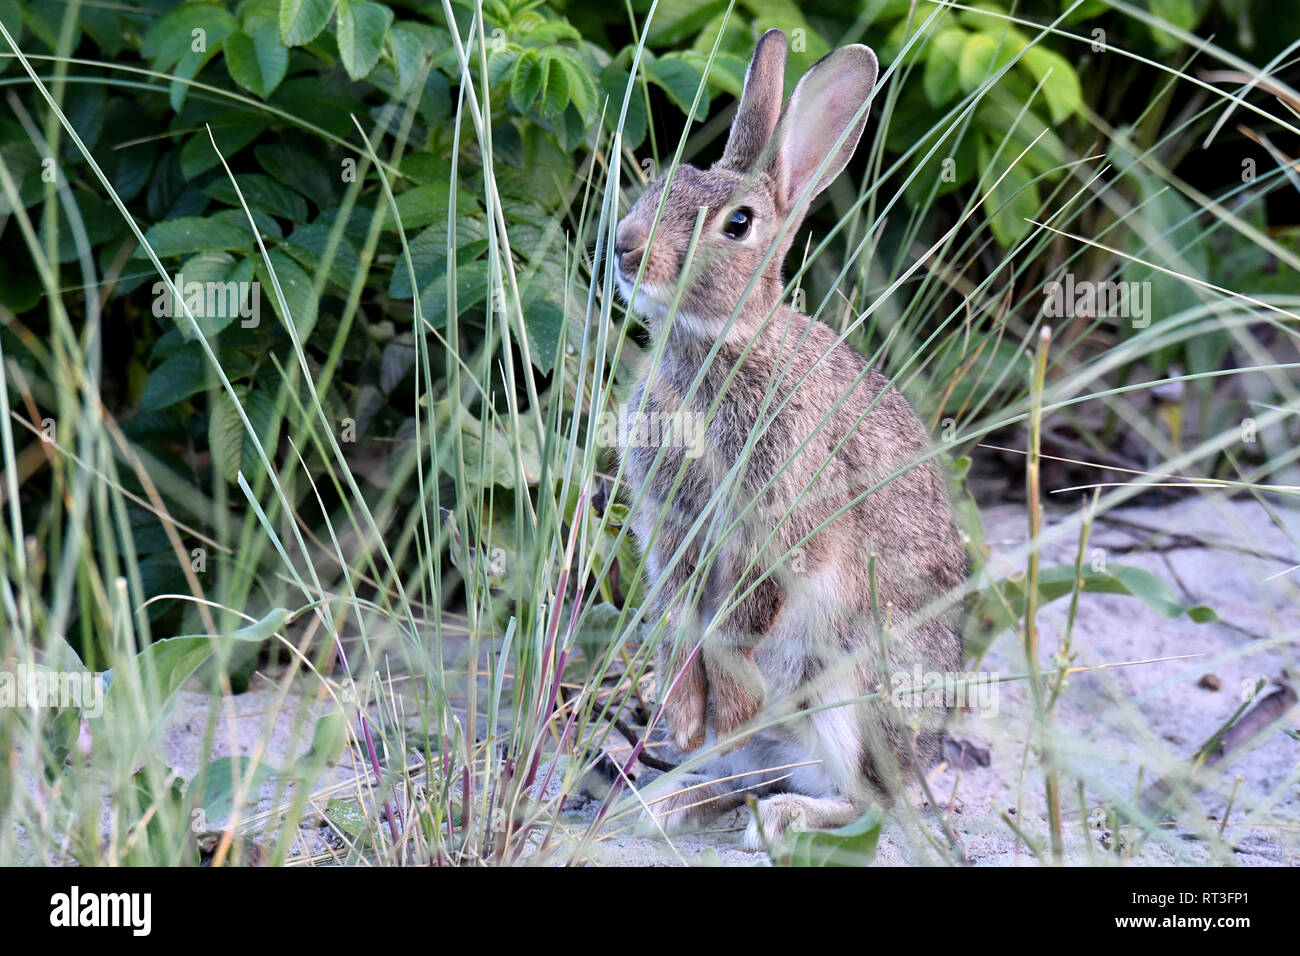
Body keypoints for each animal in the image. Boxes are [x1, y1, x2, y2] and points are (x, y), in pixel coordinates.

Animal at [612, 29, 969, 850]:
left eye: (738, 224)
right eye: (659, 185)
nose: (625, 247)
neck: (725, 344)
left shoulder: (777, 524)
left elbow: (734, 627)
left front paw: (721, 705)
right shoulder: (671, 525)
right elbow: (679, 615)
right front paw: (684, 713)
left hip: (849, 691)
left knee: (865, 801)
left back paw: (781, 818)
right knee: (745, 774)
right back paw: (668, 798)